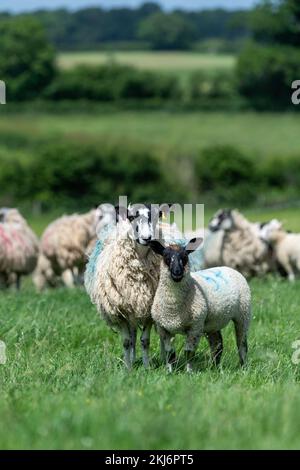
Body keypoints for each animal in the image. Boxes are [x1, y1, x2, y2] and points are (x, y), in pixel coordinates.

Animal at [149, 239, 251, 374]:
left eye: (185, 257)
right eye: (166, 257)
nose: (177, 273)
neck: (173, 309)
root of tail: (228, 267)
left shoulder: (195, 326)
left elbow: (189, 352)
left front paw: (189, 372)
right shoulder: (163, 328)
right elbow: (170, 353)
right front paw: (170, 372)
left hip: (243, 313)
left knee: (242, 343)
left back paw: (243, 367)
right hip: (212, 322)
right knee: (217, 344)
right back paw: (215, 367)